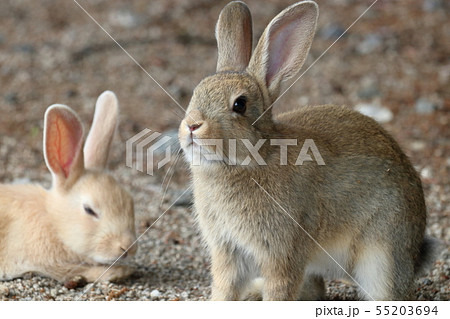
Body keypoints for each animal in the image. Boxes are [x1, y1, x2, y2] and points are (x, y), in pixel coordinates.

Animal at [0, 91, 137, 284]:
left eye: (130, 201)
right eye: (89, 210)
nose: (128, 247)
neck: (53, 222)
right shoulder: (47, 262)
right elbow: (77, 270)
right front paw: (119, 272)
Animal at [179, 1, 440, 302]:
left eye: (239, 105)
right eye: (196, 92)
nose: (192, 125)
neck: (253, 157)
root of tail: (414, 252)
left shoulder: (282, 252)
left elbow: (280, 289)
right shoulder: (228, 252)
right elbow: (224, 289)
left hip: (381, 255)